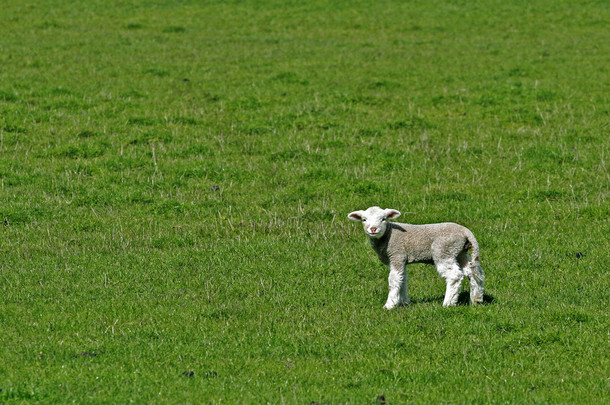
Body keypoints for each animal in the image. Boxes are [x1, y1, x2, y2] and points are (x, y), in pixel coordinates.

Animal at [346, 207, 484, 308]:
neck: (388, 233)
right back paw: (476, 299)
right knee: (474, 272)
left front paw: (390, 305)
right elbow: (402, 279)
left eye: (383, 219)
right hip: (460, 252)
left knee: (454, 275)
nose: (373, 229)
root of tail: (465, 231)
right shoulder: (401, 259)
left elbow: (394, 280)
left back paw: (448, 303)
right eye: (364, 219)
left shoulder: (397, 254)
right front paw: (403, 302)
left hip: (443, 250)